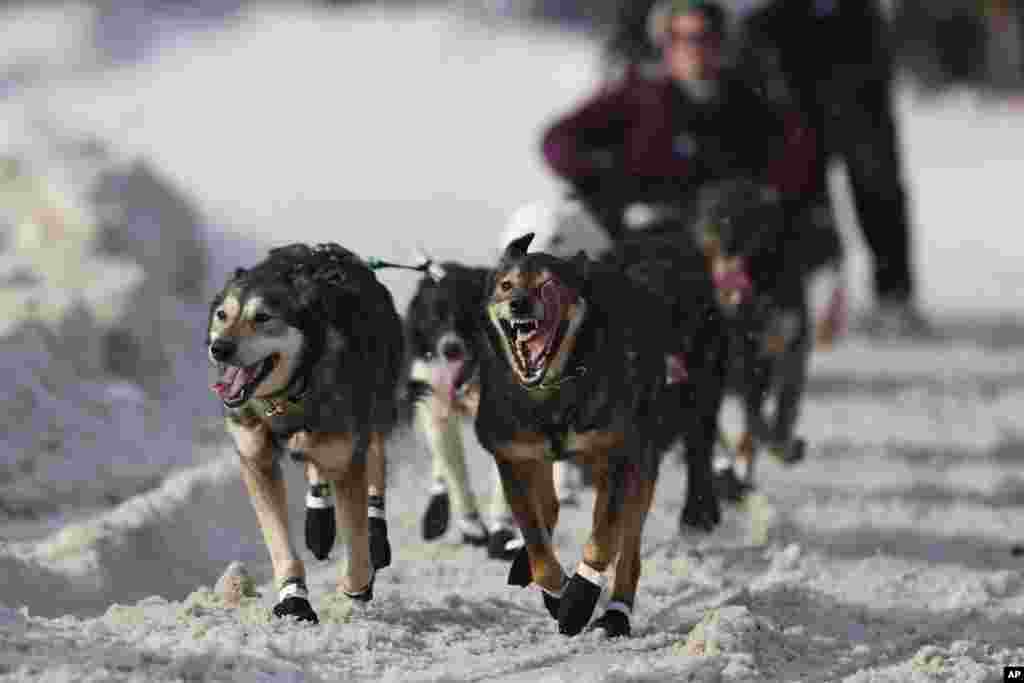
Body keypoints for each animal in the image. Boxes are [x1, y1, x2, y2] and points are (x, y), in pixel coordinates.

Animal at [204, 244, 403, 626]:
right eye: (222, 314)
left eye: (263, 317)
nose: (219, 347)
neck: (290, 394)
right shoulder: (257, 460)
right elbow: (279, 540)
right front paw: (294, 598)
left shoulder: (346, 456)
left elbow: (356, 539)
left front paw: (358, 585)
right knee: (315, 468)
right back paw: (318, 522)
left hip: (374, 415)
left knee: (374, 467)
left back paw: (376, 534)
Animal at [473, 232, 724, 638]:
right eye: (506, 285)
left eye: (549, 285)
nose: (518, 303)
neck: (555, 390)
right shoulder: (516, 456)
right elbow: (538, 540)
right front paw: (553, 588)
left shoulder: (618, 457)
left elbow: (603, 538)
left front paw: (578, 598)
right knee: (552, 508)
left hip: (652, 449)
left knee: (631, 544)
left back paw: (616, 613)